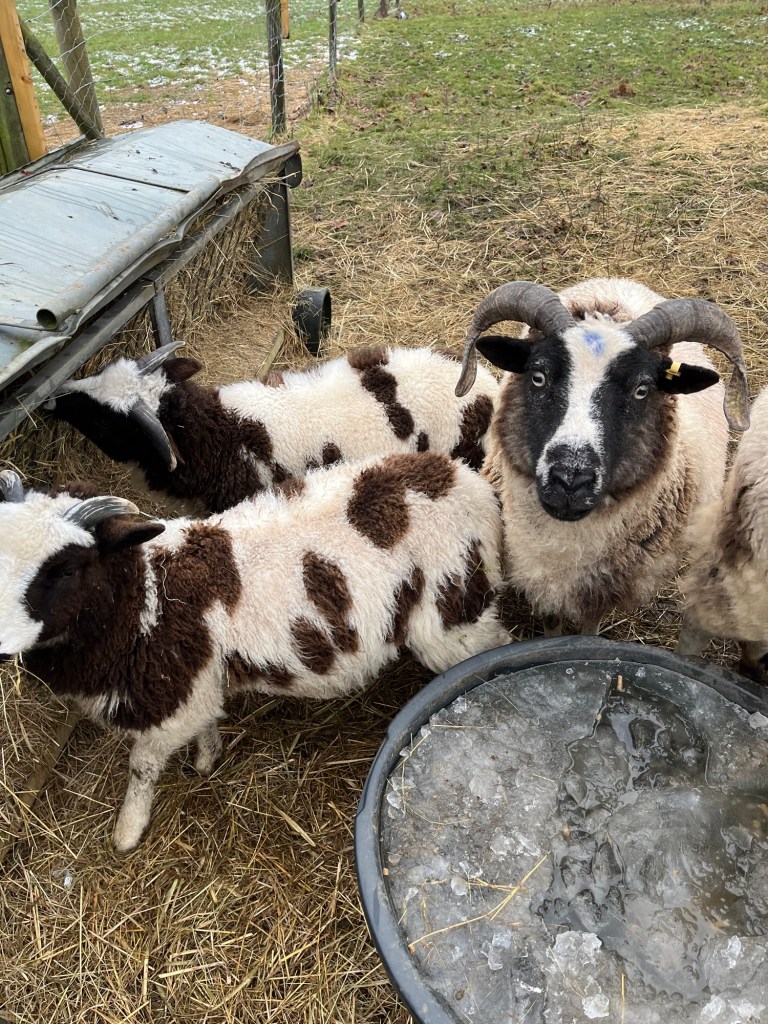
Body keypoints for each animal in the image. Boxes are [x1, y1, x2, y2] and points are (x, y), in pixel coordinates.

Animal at [0, 452, 508, 851]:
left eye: (67, 569)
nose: (2, 649)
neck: (147, 595)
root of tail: (467, 481)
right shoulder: (199, 684)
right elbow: (206, 722)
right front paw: (207, 758)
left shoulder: (172, 703)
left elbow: (141, 767)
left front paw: (127, 832)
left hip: (454, 614)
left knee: (494, 650)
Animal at [453, 277, 750, 634]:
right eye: (538, 376)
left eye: (642, 389)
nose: (570, 481)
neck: (567, 543)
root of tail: (619, 283)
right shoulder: (541, 577)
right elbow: (552, 623)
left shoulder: (603, 588)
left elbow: (589, 626)